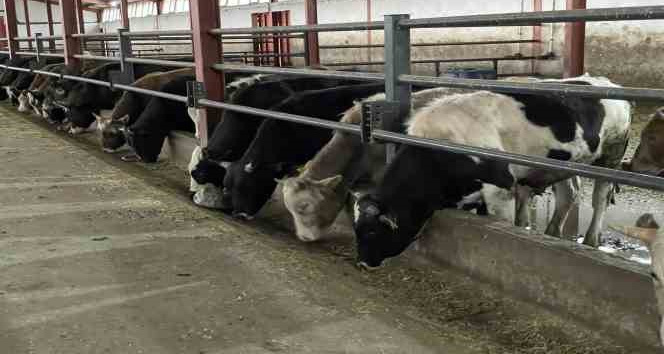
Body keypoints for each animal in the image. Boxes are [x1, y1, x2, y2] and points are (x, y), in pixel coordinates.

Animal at [350, 75, 632, 268]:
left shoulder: (500, 190)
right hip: (563, 164)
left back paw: (592, 240)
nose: (363, 262)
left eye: (372, 231)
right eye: (356, 229)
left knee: (600, 197)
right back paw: (553, 233)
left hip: (612, 155)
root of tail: (605, 82)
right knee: (568, 194)